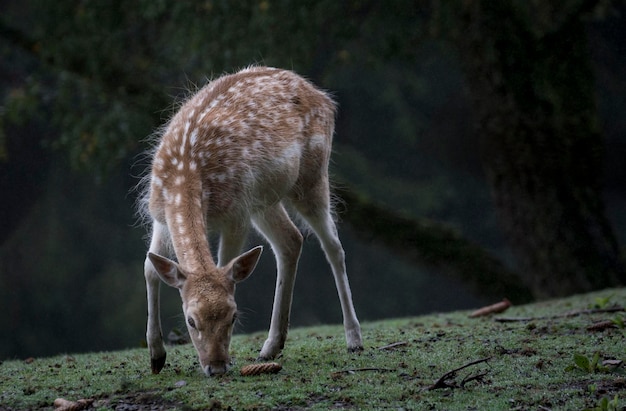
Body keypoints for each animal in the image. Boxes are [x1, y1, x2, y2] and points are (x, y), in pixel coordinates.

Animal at [136, 66, 360, 378]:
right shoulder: (160, 214)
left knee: (333, 246)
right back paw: (271, 346)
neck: (186, 175)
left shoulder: (236, 214)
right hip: (264, 200)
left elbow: (224, 265)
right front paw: (156, 357)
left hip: (311, 175)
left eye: (233, 316)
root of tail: (324, 98)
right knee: (291, 240)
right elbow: (150, 269)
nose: (217, 367)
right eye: (191, 320)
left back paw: (354, 339)